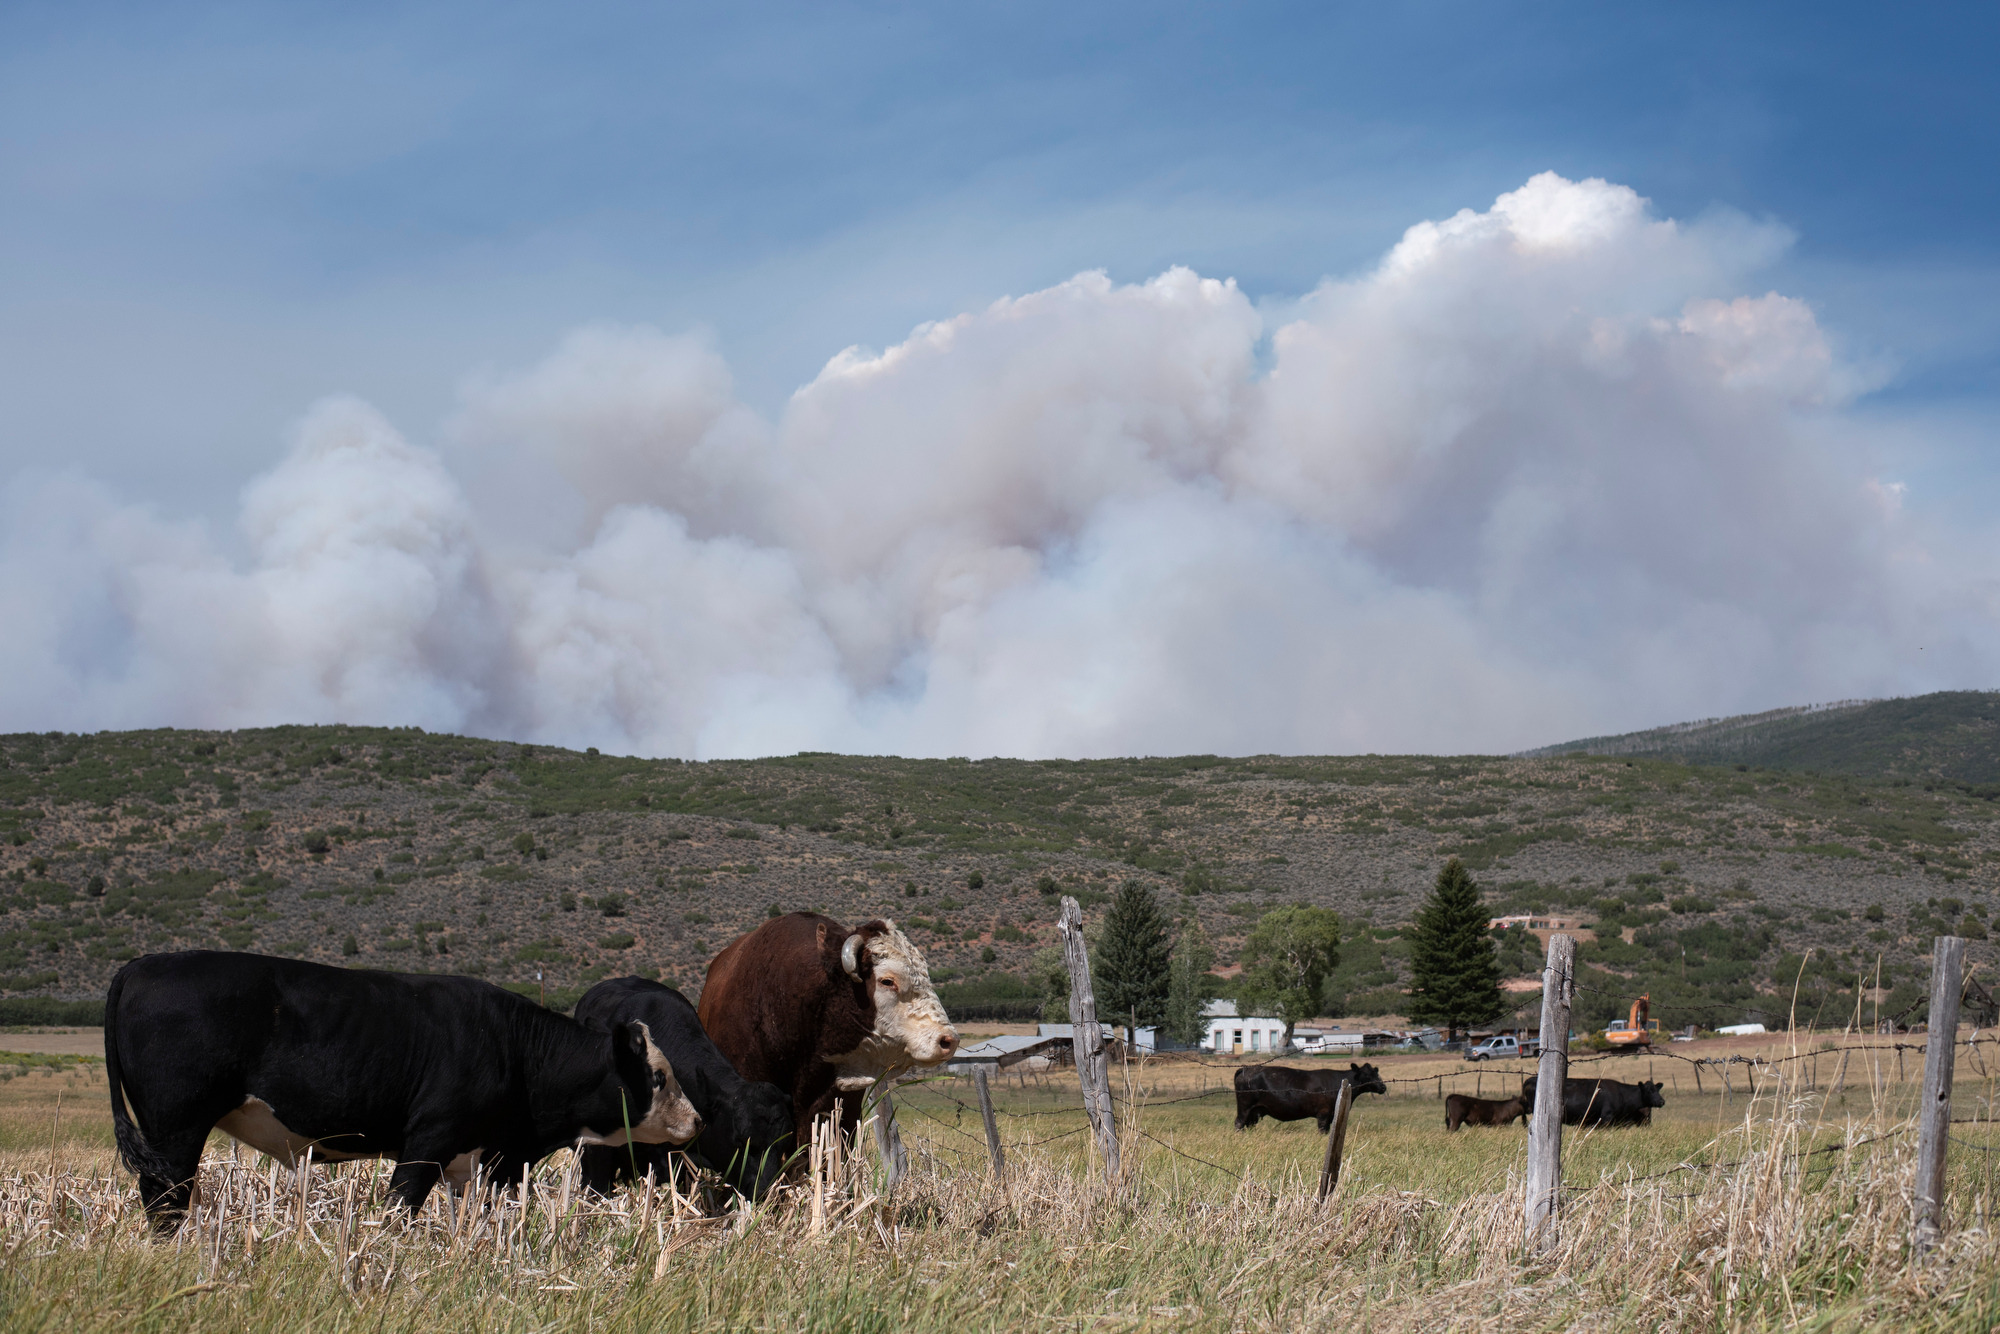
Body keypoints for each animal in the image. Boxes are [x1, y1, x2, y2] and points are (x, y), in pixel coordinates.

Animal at [109, 948, 708, 1232]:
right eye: (659, 1076)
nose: (698, 1120)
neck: (514, 1047)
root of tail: (145, 963)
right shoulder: (428, 1141)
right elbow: (399, 1211)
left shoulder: (483, 1161)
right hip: (175, 1128)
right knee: (164, 1200)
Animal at [1224, 1056, 1384, 1136]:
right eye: (1367, 1075)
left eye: (1376, 1072)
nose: (1383, 1087)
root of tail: (1246, 1069)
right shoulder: (1324, 1113)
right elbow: (1322, 1130)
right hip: (1245, 1106)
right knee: (1239, 1123)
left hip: (1254, 1111)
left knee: (1248, 1125)